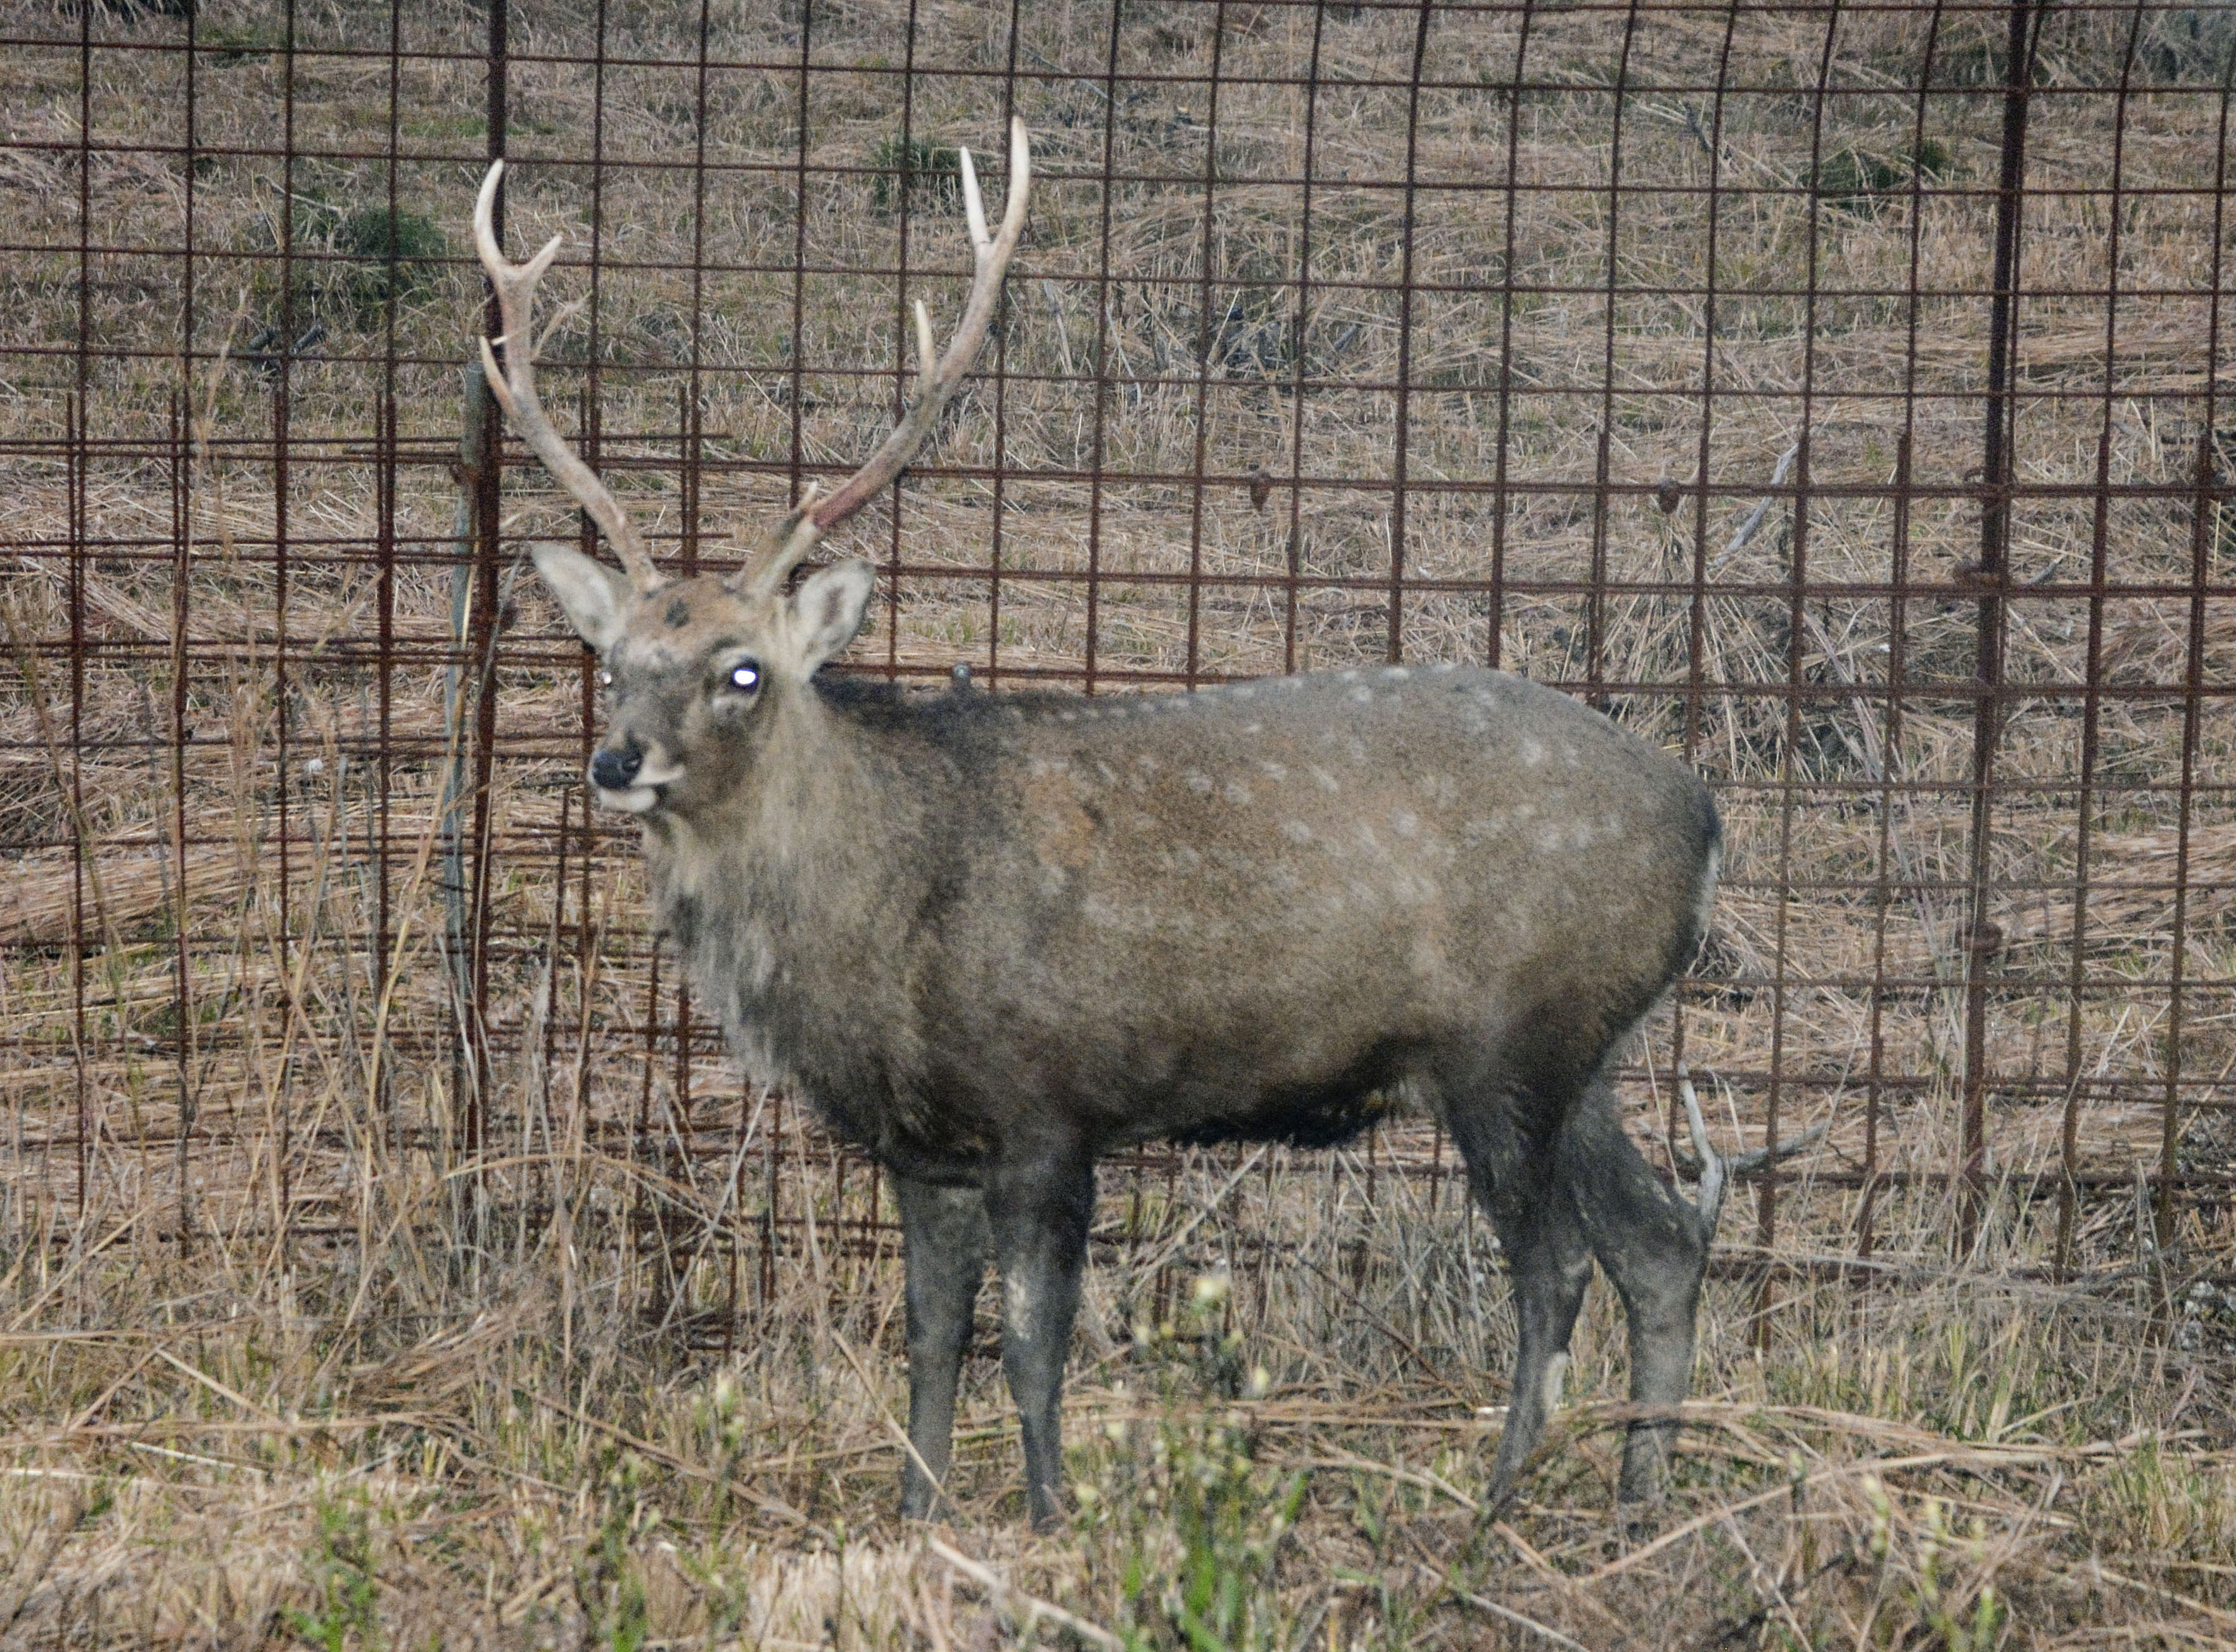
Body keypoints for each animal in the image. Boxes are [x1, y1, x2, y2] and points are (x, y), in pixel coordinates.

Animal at [467, 119, 1726, 1538]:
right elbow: (927, 1336)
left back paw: (1492, 1508)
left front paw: (1050, 1514)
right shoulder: (924, 1143)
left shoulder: (1049, 1101)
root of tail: (1706, 818)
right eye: (613, 657)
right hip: (1588, 1049)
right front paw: (917, 1516)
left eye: (743, 669)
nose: (617, 760)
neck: (884, 928)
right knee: (1662, 1240)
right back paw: (1639, 1506)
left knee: (1558, 1267)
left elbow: (1030, 1341)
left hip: (1508, 1044)